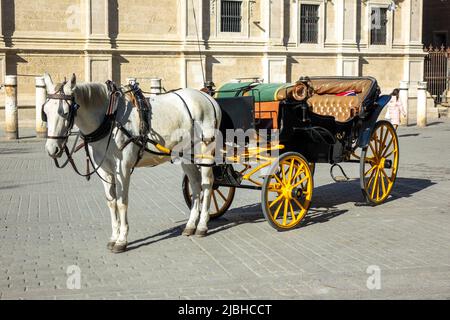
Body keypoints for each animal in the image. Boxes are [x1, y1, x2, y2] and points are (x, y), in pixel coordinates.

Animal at [43, 74, 222, 254]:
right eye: (45, 112)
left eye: (65, 112)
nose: (52, 149)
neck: (110, 118)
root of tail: (207, 97)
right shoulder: (104, 170)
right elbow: (111, 202)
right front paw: (113, 237)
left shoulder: (123, 168)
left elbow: (121, 203)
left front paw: (121, 240)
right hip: (185, 154)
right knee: (195, 185)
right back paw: (190, 225)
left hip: (205, 151)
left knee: (207, 184)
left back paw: (202, 225)